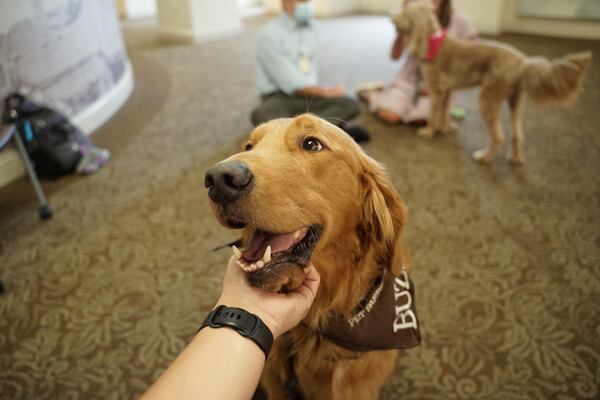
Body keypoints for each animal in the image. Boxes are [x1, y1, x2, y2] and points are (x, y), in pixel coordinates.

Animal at [392, 0, 592, 162]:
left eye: (405, 12)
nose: (392, 17)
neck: (432, 40)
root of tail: (522, 61)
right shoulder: (447, 90)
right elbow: (444, 112)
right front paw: (444, 128)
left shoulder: (436, 90)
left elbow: (433, 114)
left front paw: (428, 131)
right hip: (515, 102)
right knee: (518, 134)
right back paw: (516, 158)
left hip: (488, 99)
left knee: (498, 137)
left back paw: (484, 157)